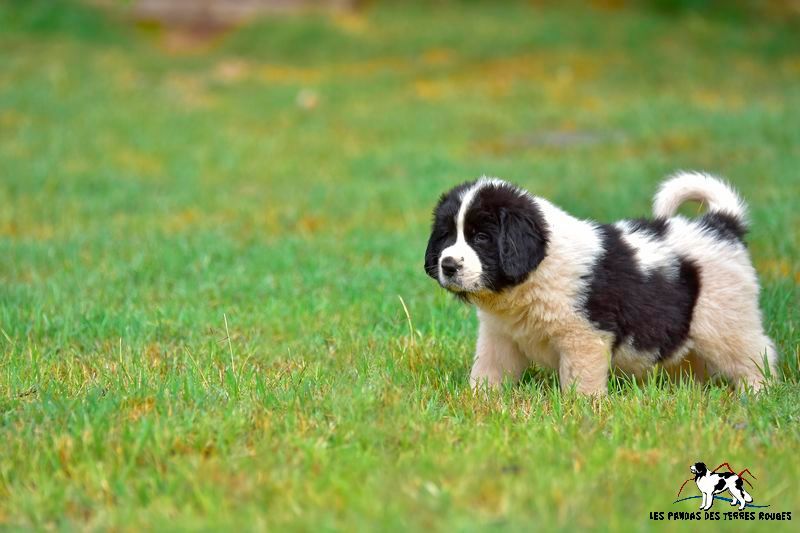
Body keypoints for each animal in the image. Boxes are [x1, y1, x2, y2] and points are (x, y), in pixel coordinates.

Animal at [422, 172, 780, 392]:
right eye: (447, 236)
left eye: (481, 238)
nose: (448, 265)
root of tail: (721, 224)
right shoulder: (499, 336)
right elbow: (488, 370)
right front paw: (478, 400)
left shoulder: (584, 337)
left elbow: (580, 381)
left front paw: (580, 411)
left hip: (723, 319)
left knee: (755, 353)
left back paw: (757, 393)